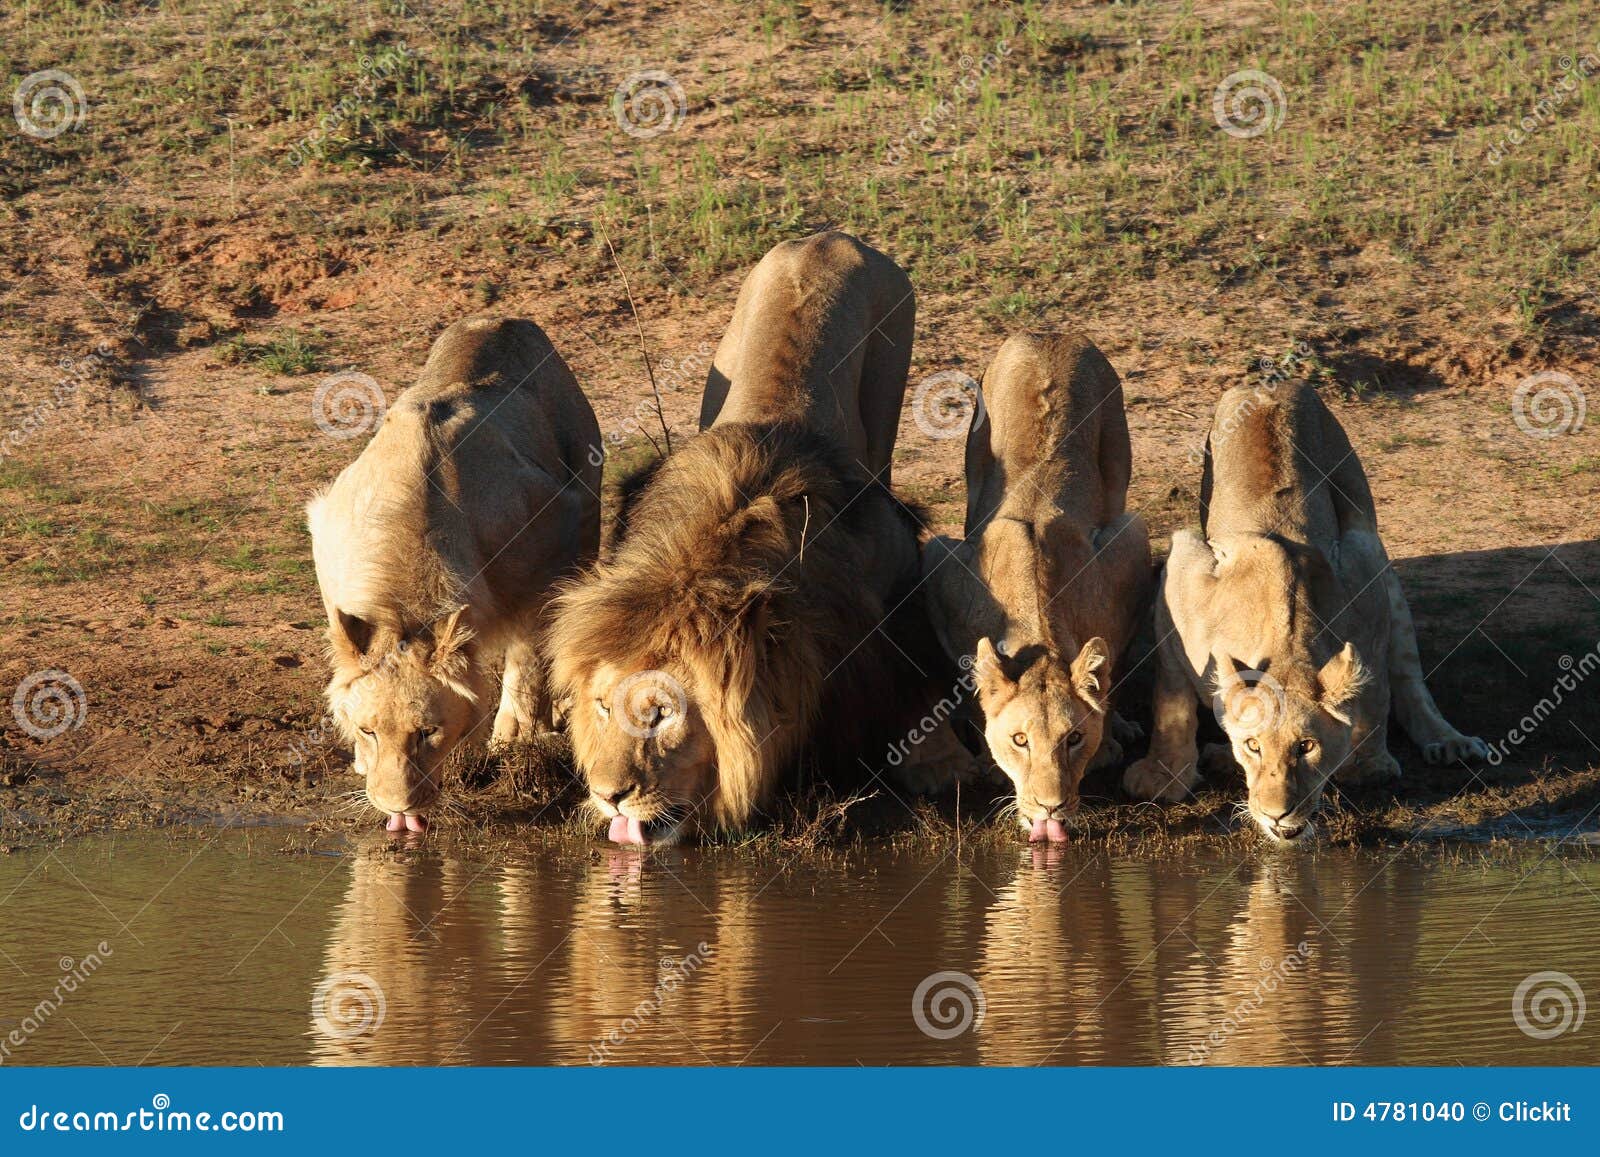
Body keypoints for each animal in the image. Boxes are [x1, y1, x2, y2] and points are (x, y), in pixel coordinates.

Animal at [308, 317, 601, 832]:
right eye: (368, 731)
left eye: (428, 732)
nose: (398, 808)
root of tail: (505, 320)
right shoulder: (324, 535)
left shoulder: (551, 542)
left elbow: (528, 659)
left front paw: (520, 739)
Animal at [549, 231, 969, 843]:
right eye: (603, 707)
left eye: (661, 713)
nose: (608, 796)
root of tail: (830, 236)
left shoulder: (894, 562)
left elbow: (915, 677)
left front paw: (941, 761)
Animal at [923, 332, 1151, 842]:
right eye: (1020, 740)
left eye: (1074, 739)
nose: (1051, 807)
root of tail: (1051, 334)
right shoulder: (941, 569)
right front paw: (989, 760)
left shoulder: (1131, 552)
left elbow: (1111, 673)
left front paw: (1110, 737)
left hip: (1120, 478)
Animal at [1122, 381, 1488, 842]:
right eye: (1253, 746)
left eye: (1306, 746)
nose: (1278, 814)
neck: (1286, 644)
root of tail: (1272, 382)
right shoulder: (1182, 569)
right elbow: (1171, 701)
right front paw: (1162, 775)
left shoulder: (1364, 568)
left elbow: (1379, 689)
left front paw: (1369, 764)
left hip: (1364, 520)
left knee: (1408, 674)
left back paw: (1450, 740)